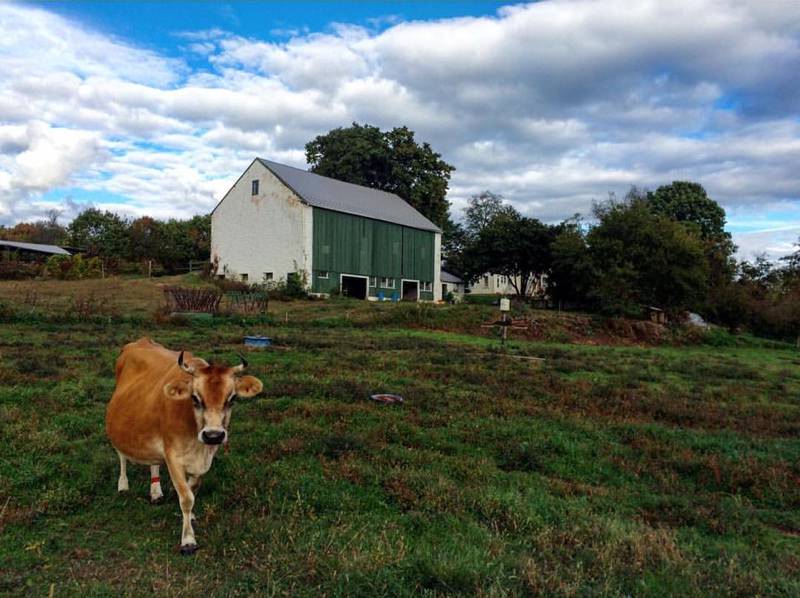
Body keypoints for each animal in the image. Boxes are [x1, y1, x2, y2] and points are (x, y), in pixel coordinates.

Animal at [104, 340, 262, 556]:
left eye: (231, 399)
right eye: (195, 398)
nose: (213, 435)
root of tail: (140, 341)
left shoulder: (204, 459)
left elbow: (192, 488)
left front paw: (191, 515)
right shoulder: (173, 458)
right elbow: (186, 497)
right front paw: (188, 540)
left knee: (153, 462)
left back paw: (156, 492)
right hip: (119, 428)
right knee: (121, 456)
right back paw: (123, 485)